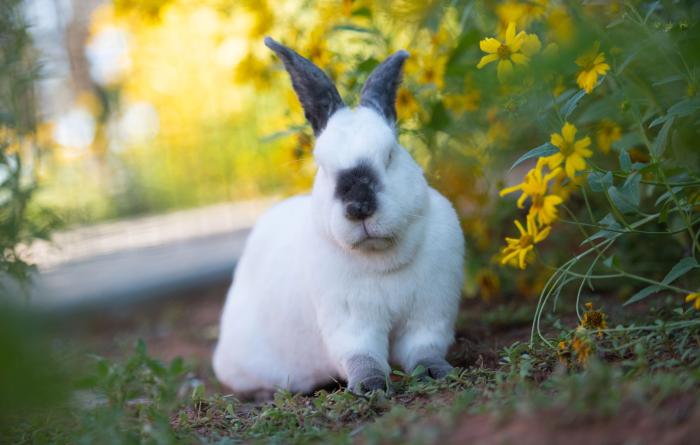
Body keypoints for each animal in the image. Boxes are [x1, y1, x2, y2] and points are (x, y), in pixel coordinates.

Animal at [212, 37, 465, 399]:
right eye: (323, 165)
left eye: (390, 155)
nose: (359, 207)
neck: (383, 261)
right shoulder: (350, 323)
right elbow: (363, 357)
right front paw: (371, 387)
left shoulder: (429, 314)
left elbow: (424, 350)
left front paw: (437, 372)